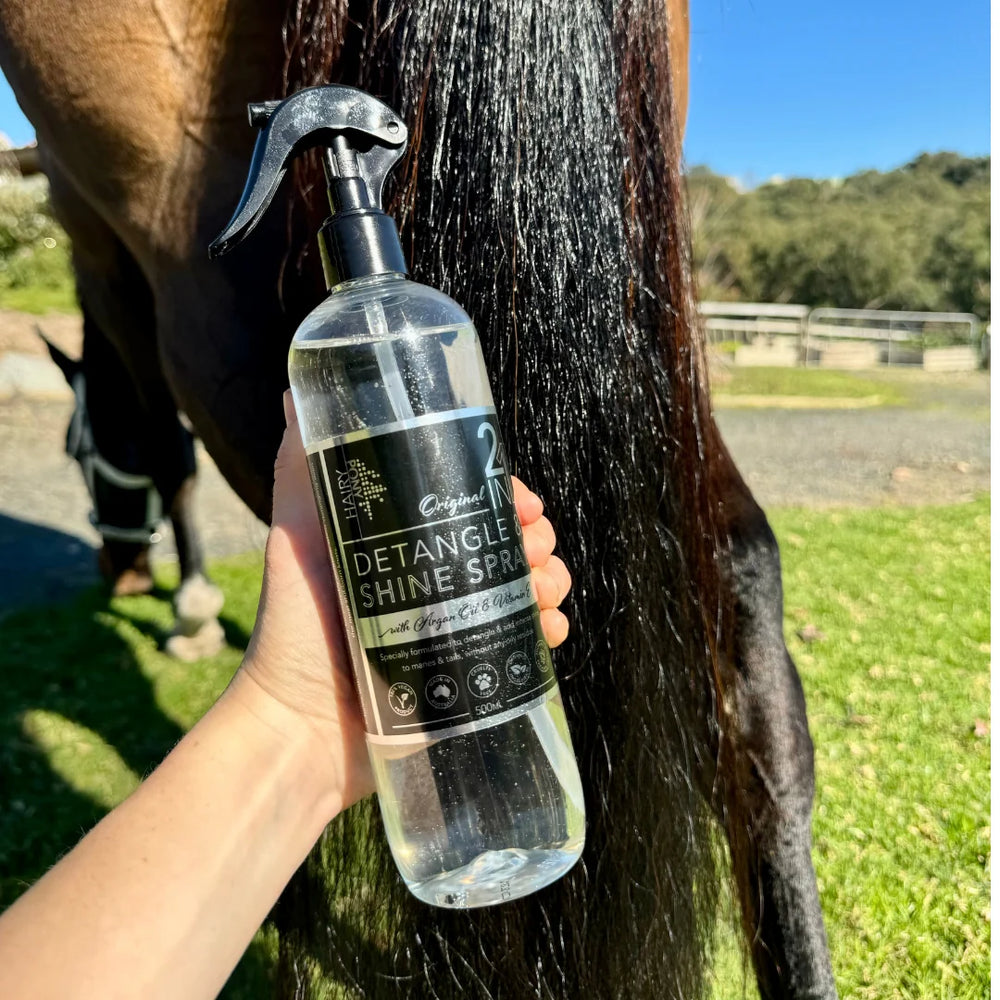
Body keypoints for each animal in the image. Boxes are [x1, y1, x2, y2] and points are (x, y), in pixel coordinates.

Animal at [0, 0, 837, 996]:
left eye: (76, 447)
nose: (117, 573)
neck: (371, 302)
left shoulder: (97, 241)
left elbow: (168, 453)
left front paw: (192, 610)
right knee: (741, 582)